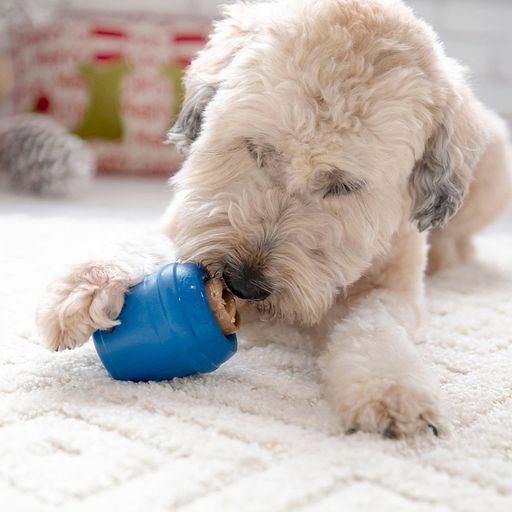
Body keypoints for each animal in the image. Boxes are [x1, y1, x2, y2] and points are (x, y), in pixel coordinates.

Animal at [38, 1, 510, 440]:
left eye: (342, 186)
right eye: (256, 149)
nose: (242, 283)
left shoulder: (394, 289)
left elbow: (376, 330)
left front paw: (394, 392)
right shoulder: (185, 222)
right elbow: (146, 242)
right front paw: (87, 285)